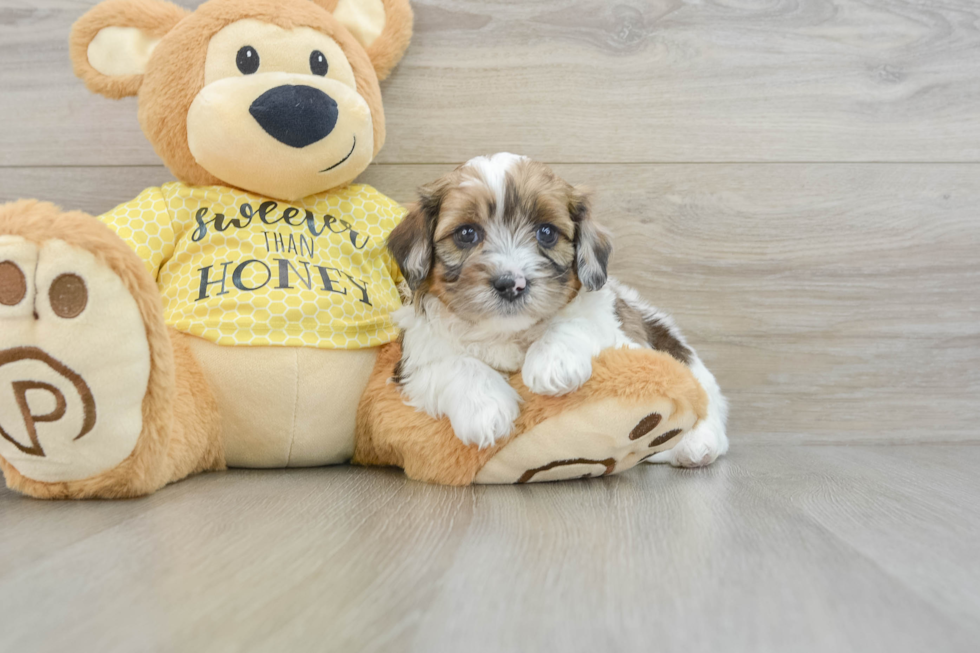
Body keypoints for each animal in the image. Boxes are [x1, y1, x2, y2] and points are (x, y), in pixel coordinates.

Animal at [384, 154, 728, 464]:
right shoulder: (416, 358)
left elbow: (578, 320)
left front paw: (554, 362)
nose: (511, 284)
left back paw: (696, 443)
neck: (506, 332)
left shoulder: (614, 328)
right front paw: (486, 409)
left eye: (546, 232)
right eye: (467, 233)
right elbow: (454, 363)